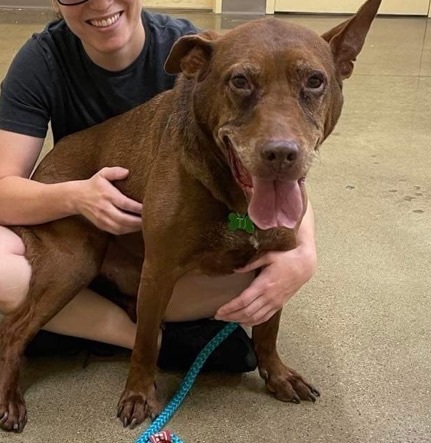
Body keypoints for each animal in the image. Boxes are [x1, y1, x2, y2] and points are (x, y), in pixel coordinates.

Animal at [0, 0, 382, 434]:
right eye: (240, 81)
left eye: (315, 80)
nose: (282, 154)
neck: (237, 203)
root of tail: (46, 164)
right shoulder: (159, 271)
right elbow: (144, 345)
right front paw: (138, 394)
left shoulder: (278, 263)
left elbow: (268, 328)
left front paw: (278, 374)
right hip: (72, 262)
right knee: (13, 333)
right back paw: (11, 398)